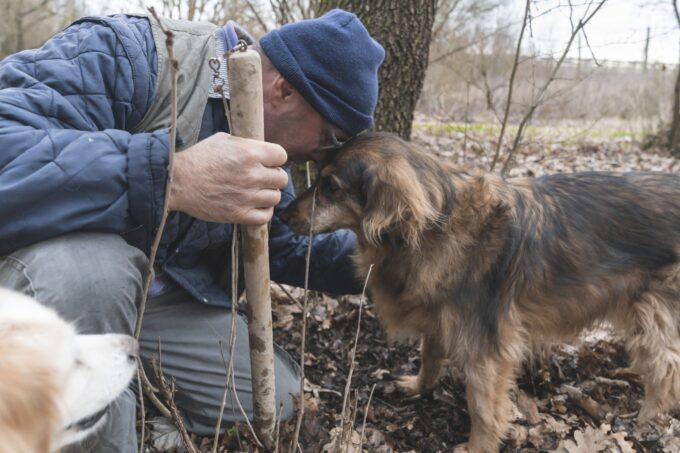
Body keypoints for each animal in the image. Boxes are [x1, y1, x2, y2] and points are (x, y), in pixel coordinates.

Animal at [282, 132, 680, 452]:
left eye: (331, 186)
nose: (284, 214)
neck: (432, 227)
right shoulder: (441, 315)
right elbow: (430, 355)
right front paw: (419, 385)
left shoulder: (486, 345)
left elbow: (483, 406)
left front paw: (478, 447)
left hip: (654, 312)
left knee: (666, 368)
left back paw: (646, 419)